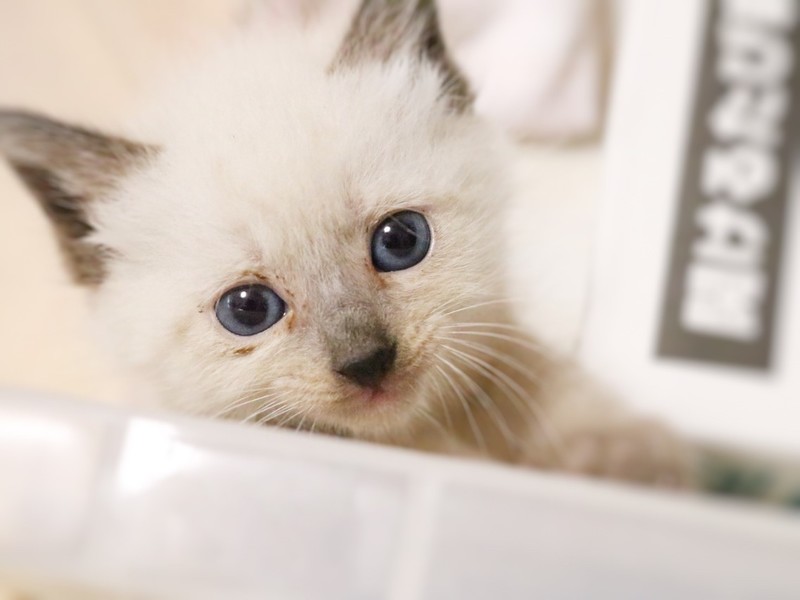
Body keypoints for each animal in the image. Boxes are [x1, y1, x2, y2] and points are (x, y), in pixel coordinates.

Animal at [0, 0, 701, 490]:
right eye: (247, 309)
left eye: (401, 241)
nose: (367, 363)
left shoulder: (515, 341)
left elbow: (562, 396)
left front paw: (634, 466)